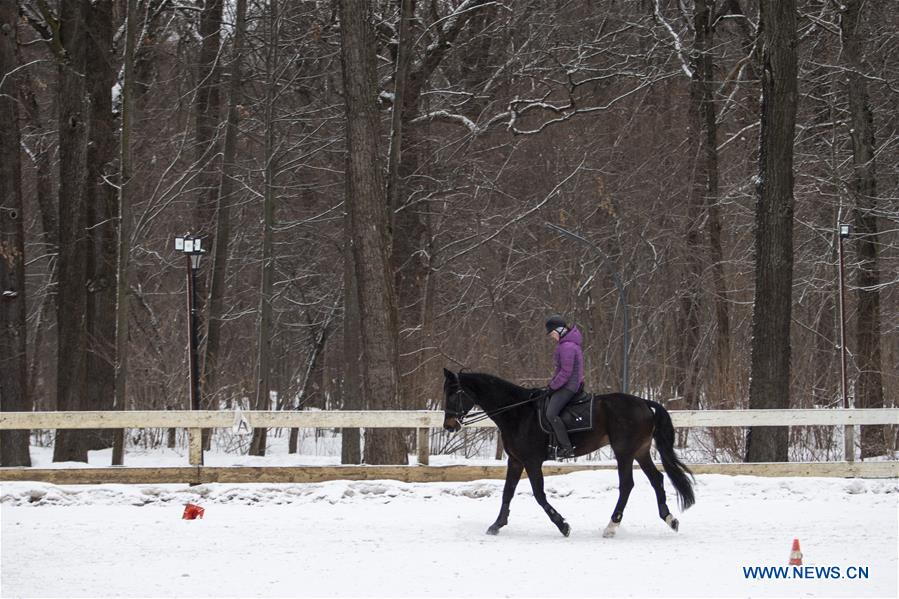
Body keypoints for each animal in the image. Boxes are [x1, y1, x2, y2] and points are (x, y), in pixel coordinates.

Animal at [442, 370, 696, 540]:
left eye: (454, 393)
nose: (449, 425)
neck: (517, 412)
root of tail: (643, 402)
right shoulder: (516, 461)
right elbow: (507, 493)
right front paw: (496, 525)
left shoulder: (532, 462)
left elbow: (539, 495)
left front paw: (563, 525)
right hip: (640, 451)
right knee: (657, 479)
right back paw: (669, 519)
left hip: (624, 452)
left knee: (627, 485)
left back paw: (611, 526)